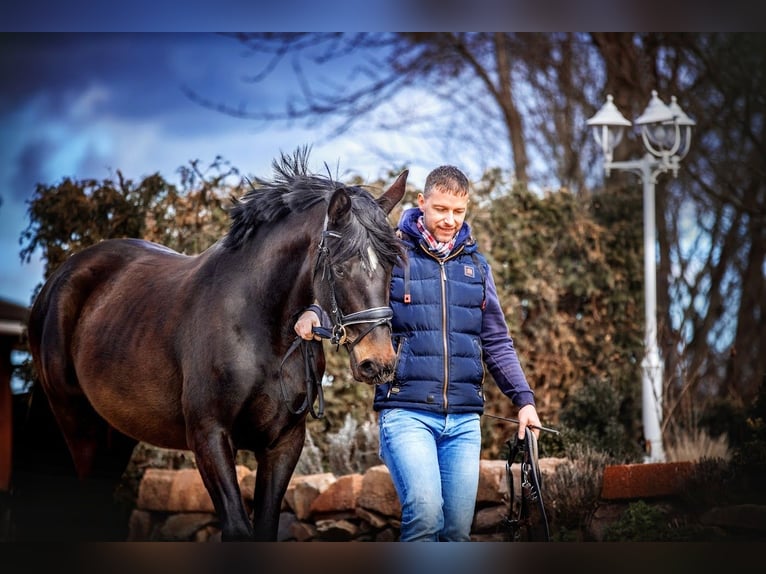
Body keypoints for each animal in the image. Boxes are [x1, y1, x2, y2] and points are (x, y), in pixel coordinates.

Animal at [26, 150, 408, 541]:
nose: (378, 363)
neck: (260, 330)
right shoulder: (209, 436)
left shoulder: (283, 444)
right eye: (342, 267)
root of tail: (61, 277)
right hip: (78, 425)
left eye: (392, 265)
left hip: (116, 433)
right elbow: (238, 529)